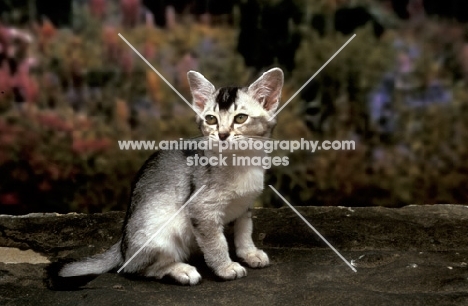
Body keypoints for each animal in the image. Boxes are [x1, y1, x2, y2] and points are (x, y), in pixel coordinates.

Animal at [53, 67, 284, 286]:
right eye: (211, 119)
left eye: (240, 118)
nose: (222, 135)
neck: (242, 163)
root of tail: (122, 245)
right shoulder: (201, 210)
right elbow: (216, 243)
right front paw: (226, 267)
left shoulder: (245, 205)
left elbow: (244, 230)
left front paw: (249, 253)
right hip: (159, 232)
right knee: (135, 268)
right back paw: (181, 271)